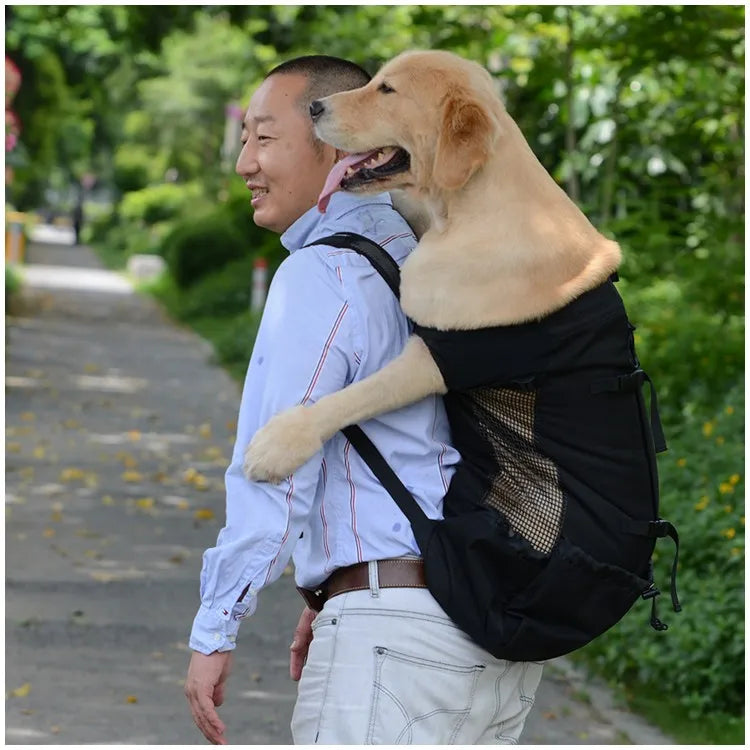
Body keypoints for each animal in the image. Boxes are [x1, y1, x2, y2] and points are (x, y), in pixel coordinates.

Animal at [242, 51, 624, 488]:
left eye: (387, 89)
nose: (315, 108)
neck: (465, 211)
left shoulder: (437, 356)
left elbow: (357, 396)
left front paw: (281, 443)